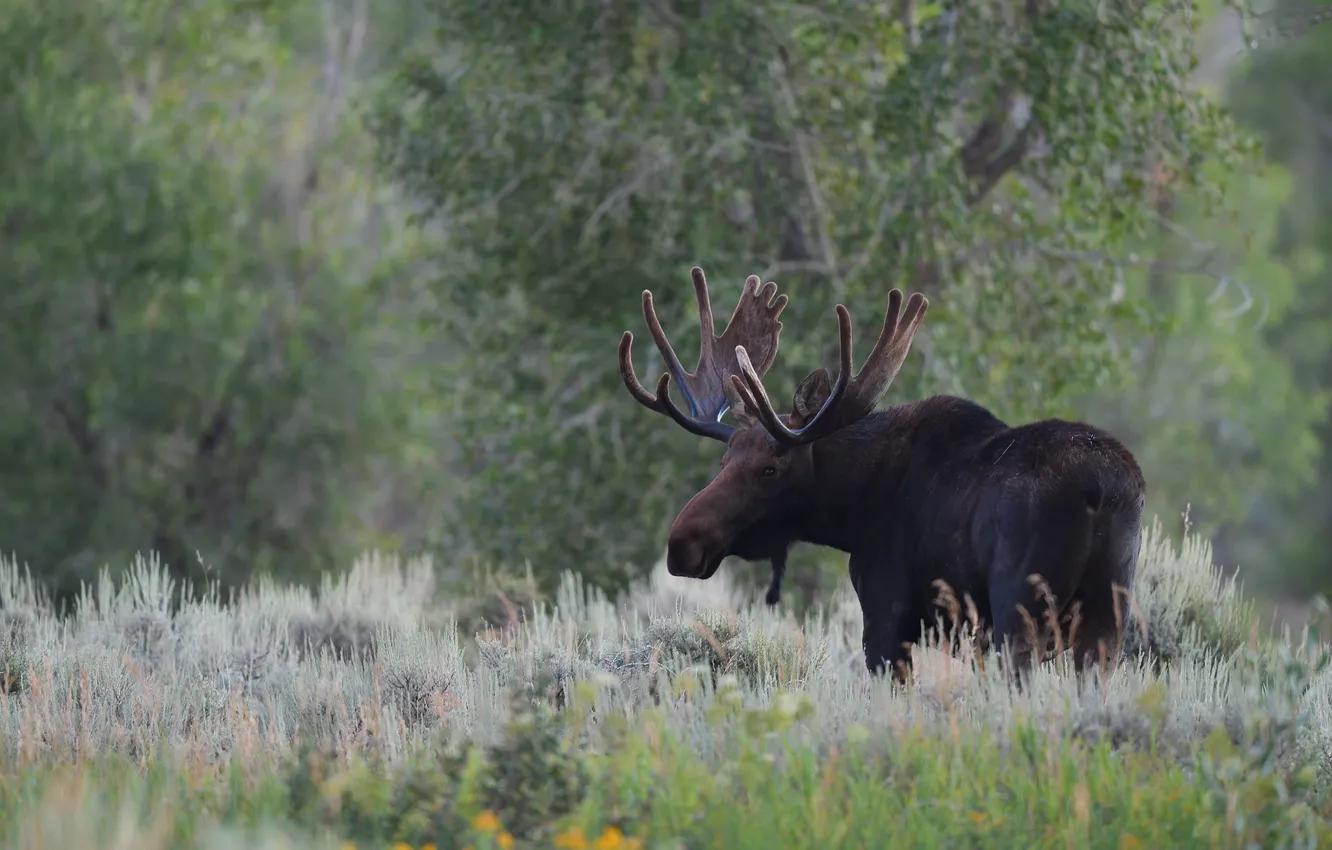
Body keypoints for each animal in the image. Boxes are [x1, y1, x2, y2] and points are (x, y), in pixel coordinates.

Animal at [617, 267, 1146, 685]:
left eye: (770, 468)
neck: (851, 514)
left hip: (1020, 607)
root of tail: (1103, 491)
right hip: (1107, 616)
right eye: (724, 461)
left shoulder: (886, 614)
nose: (681, 543)